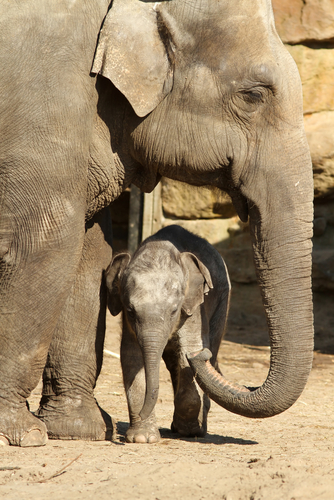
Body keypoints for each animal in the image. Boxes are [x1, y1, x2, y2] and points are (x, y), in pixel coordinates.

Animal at [105, 225, 231, 444]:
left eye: (173, 311)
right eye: (130, 310)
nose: (143, 413)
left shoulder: (193, 308)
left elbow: (191, 350)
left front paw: (189, 431)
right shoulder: (128, 323)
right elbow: (131, 356)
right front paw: (142, 438)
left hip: (223, 300)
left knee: (210, 350)